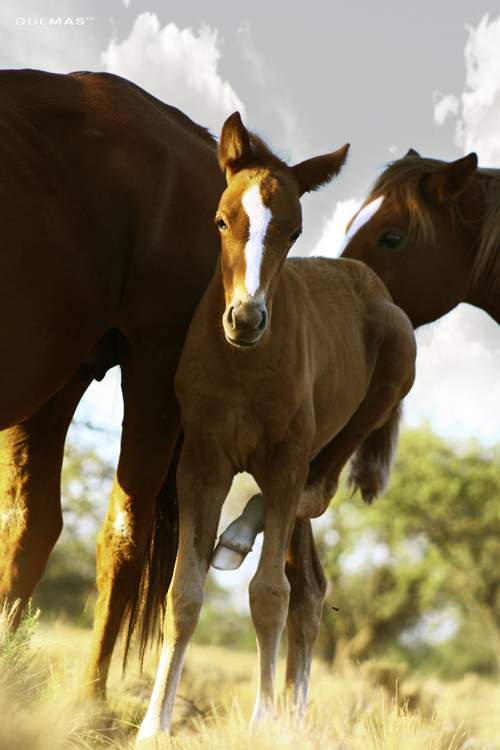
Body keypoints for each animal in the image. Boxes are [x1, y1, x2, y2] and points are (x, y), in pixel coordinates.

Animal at [139, 114, 416, 744]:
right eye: (221, 220)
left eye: (294, 232)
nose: (246, 319)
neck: (242, 366)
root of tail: (371, 282)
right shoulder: (202, 463)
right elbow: (182, 594)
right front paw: (152, 725)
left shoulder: (286, 458)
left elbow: (269, 594)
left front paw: (263, 720)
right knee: (311, 587)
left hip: (386, 374)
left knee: (317, 492)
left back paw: (241, 538)